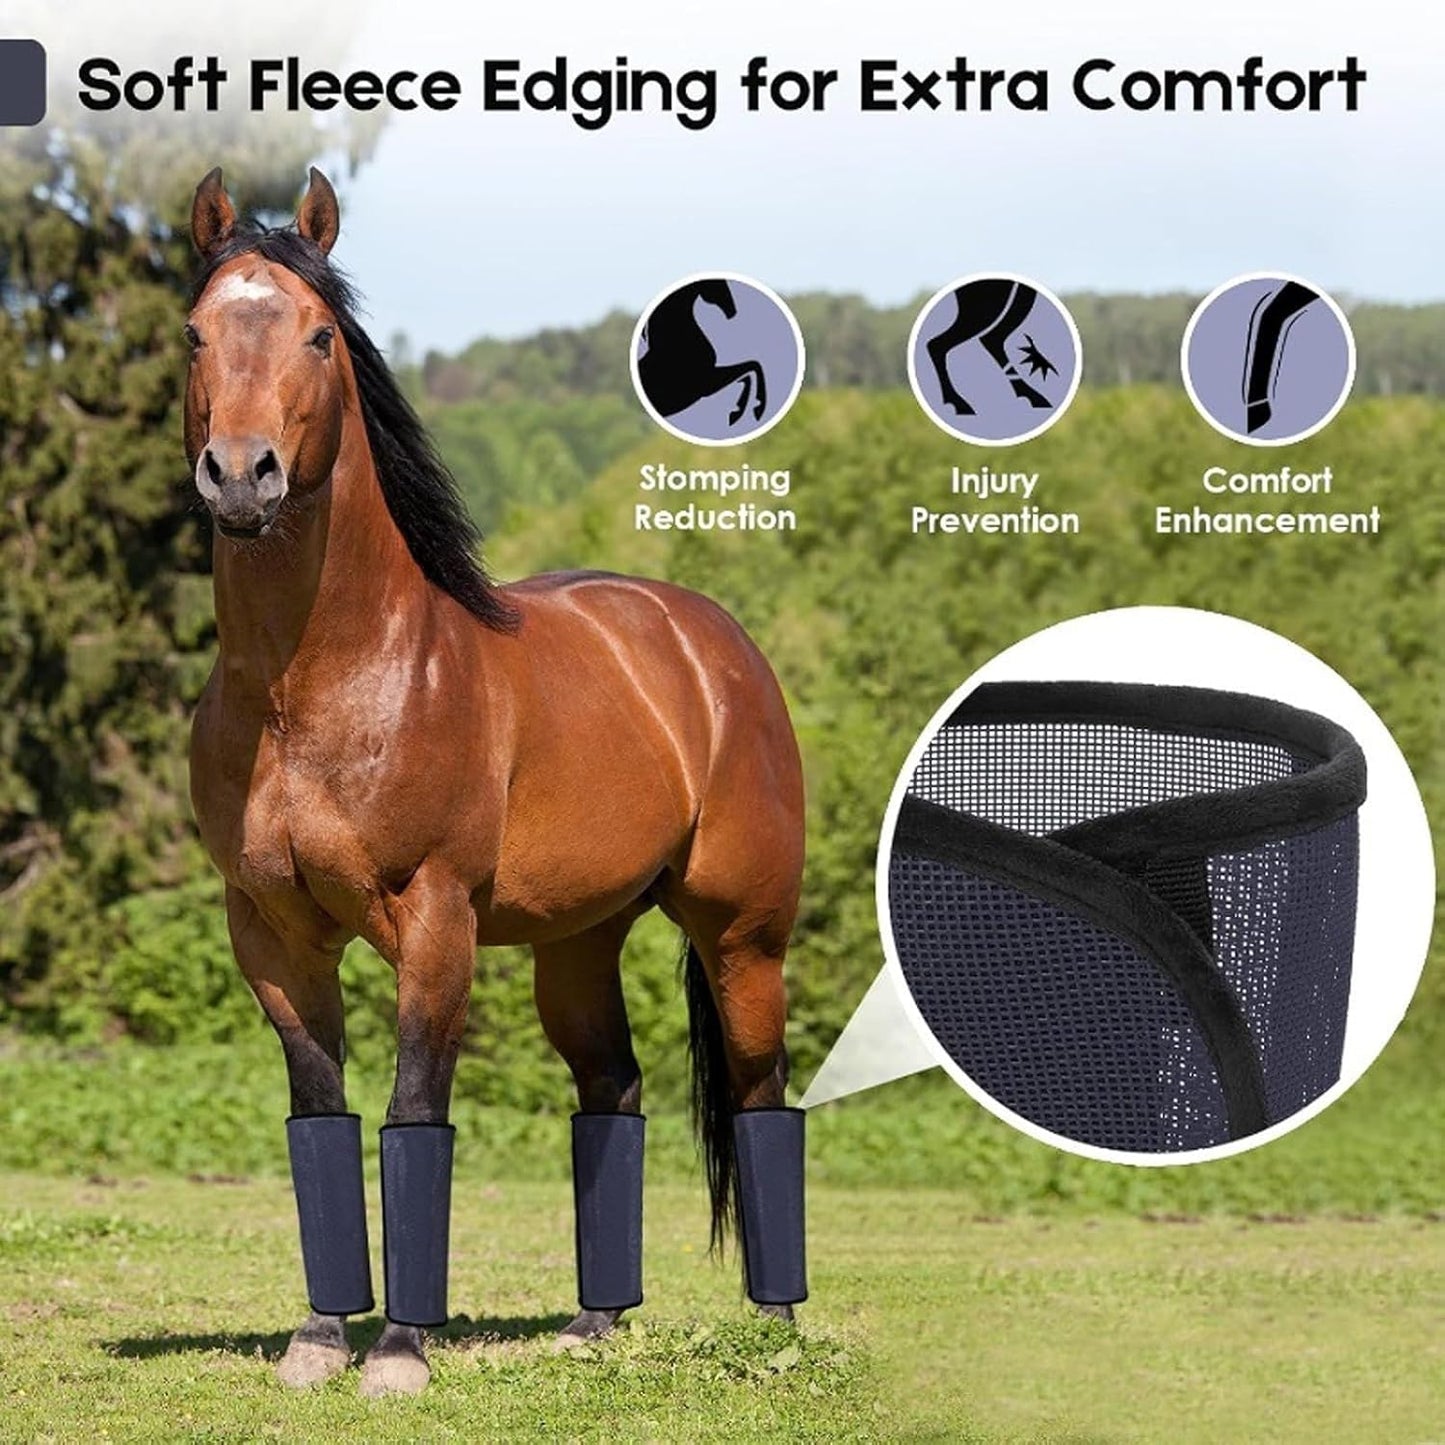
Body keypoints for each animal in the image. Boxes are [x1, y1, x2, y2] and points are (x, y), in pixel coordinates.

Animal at [636, 279, 768, 426]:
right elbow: (753, 367)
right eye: (718, 284)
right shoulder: (707, 383)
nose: (733, 311)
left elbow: (752, 368)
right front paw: (750, 410)